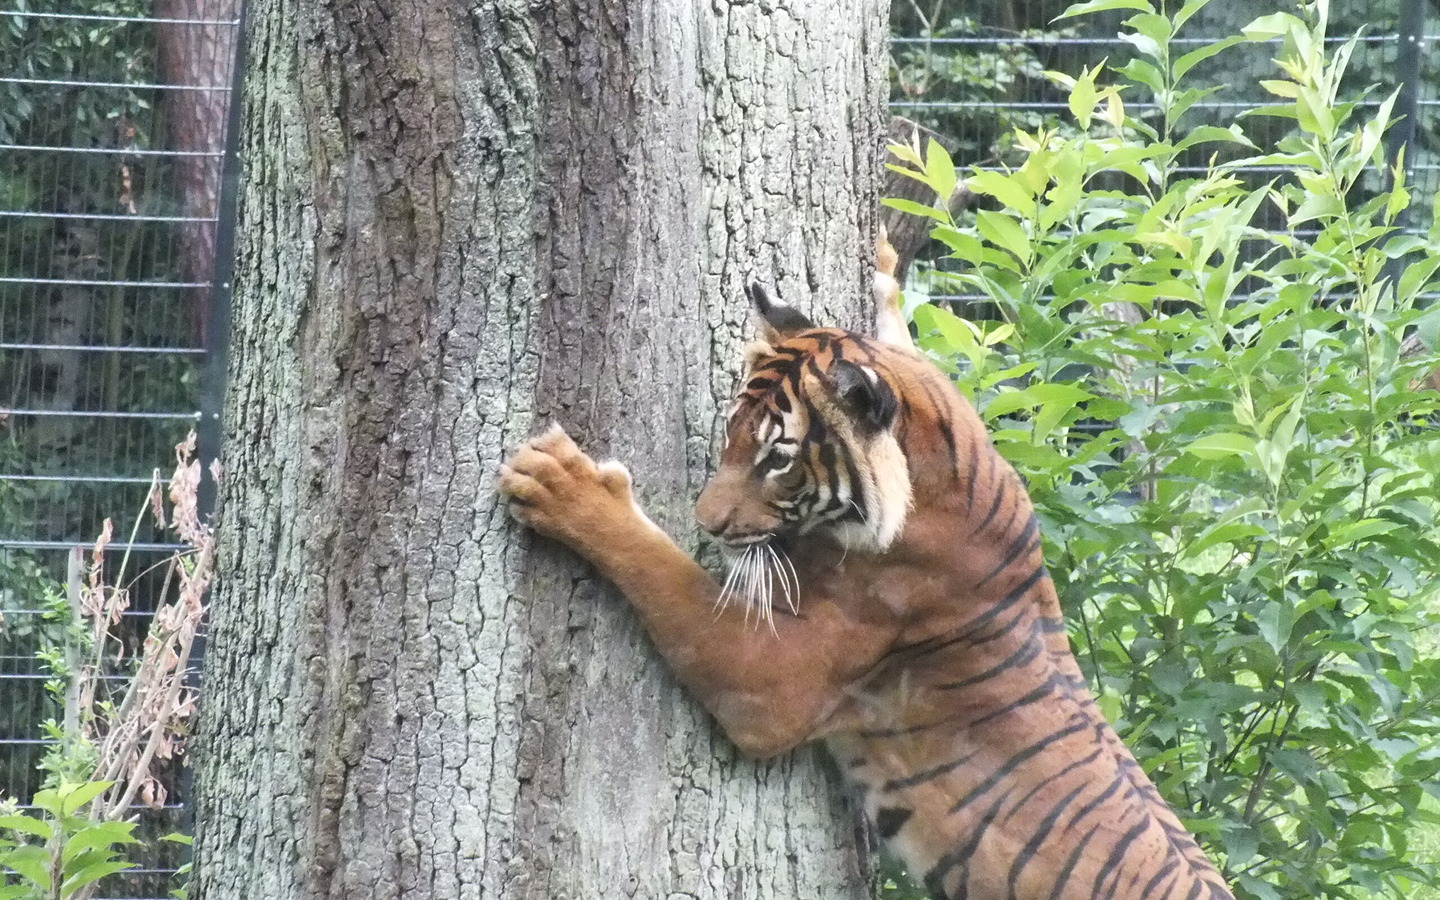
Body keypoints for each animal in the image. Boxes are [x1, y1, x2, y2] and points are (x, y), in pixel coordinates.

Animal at [497, 241, 1235, 900]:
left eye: (777, 459)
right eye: (730, 432)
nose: (708, 523)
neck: (937, 462)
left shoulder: (773, 681)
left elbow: (661, 569)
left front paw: (563, 486)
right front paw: (884, 266)